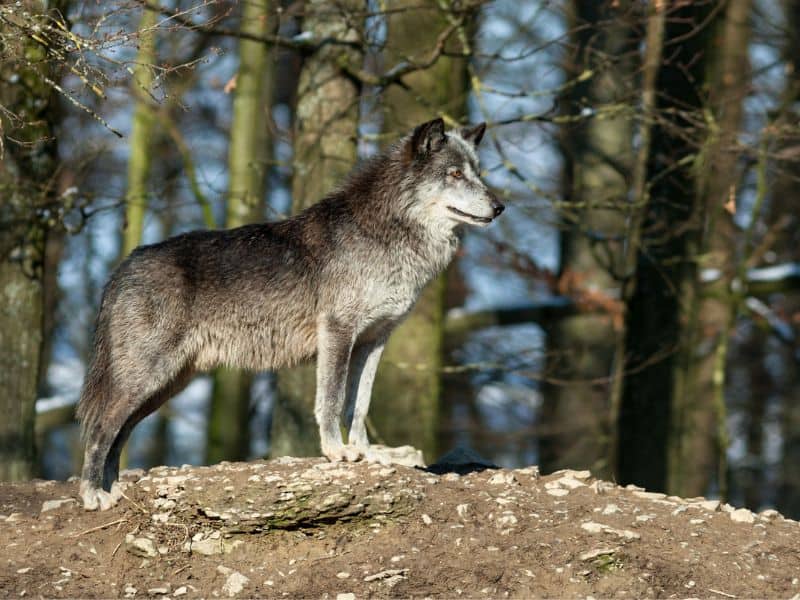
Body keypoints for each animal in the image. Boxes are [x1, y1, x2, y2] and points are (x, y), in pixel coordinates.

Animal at [77, 117, 504, 510]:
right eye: (454, 174)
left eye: (478, 172)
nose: (500, 207)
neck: (385, 233)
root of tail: (123, 266)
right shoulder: (338, 332)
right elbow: (331, 400)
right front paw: (336, 451)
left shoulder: (373, 342)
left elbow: (359, 406)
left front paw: (368, 452)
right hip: (147, 378)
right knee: (100, 428)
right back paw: (92, 494)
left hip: (166, 385)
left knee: (119, 433)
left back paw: (112, 488)